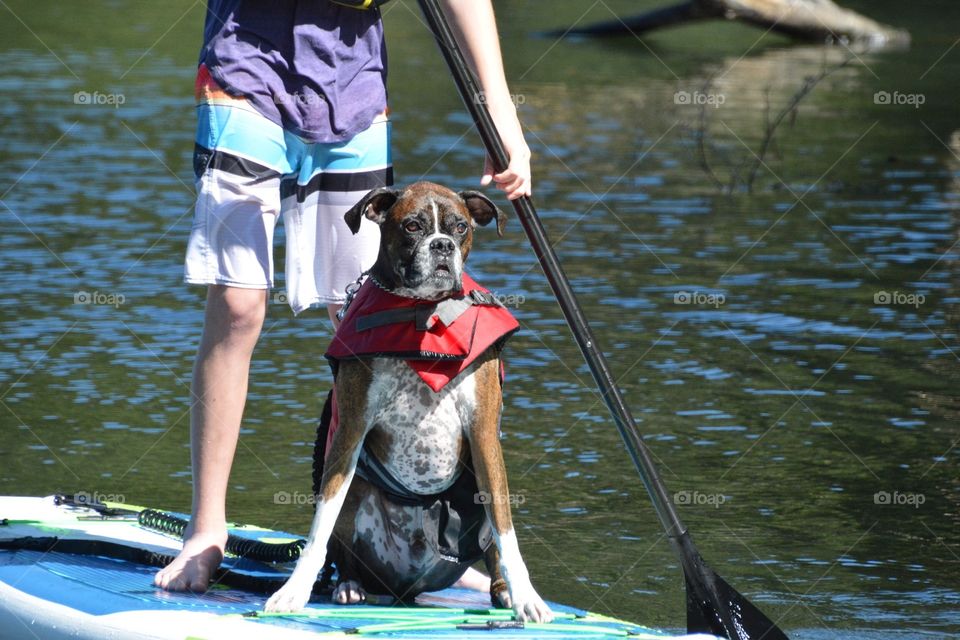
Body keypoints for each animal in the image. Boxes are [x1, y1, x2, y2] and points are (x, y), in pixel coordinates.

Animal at [264, 182, 556, 624]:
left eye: (460, 227)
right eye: (413, 226)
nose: (442, 245)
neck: (422, 314)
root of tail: (406, 587)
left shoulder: (484, 436)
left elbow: (506, 532)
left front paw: (526, 596)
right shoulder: (349, 433)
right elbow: (320, 524)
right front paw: (293, 591)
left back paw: (503, 591)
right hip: (358, 492)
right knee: (342, 547)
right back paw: (349, 585)